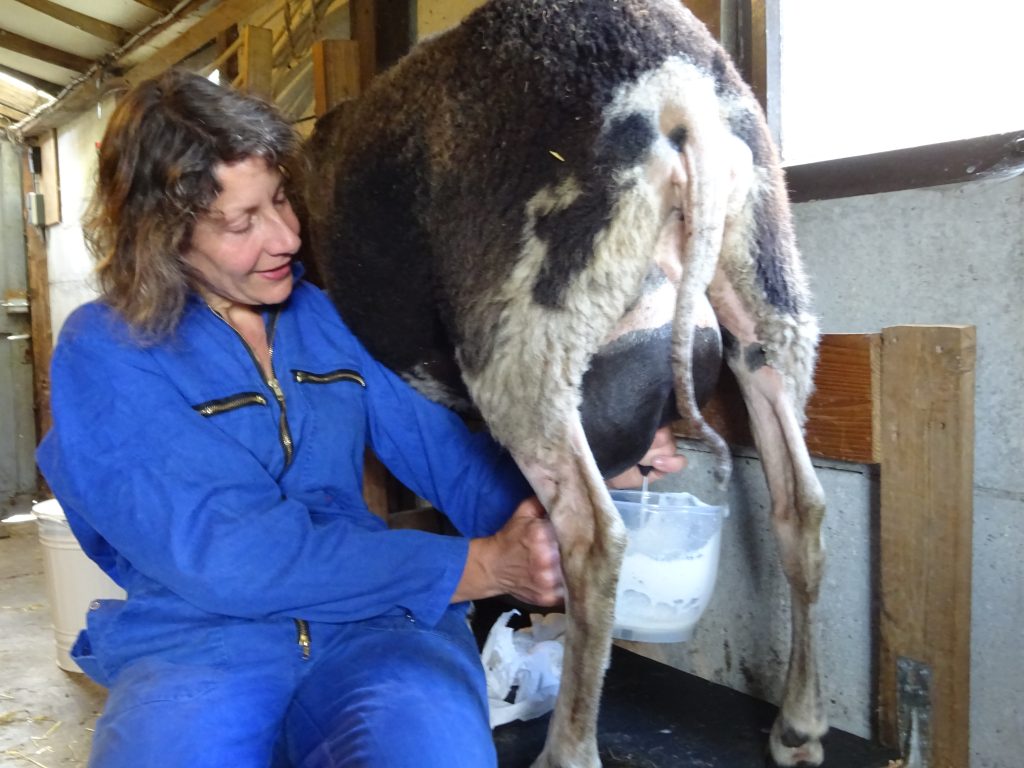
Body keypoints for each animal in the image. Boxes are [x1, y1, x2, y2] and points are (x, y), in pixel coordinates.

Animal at [301, 1, 827, 766]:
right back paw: (798, 727)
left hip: (526, 327)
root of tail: (679, 93)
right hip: (764, 283)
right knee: (801, 504)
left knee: (595, 538)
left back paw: (569, 749)